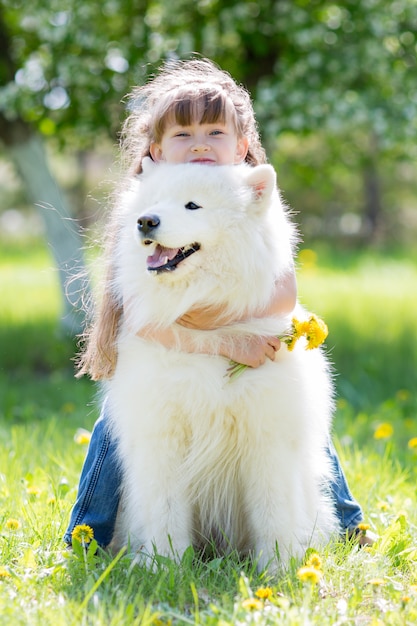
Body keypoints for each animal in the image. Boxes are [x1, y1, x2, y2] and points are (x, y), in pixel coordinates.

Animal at [105, 157, 340, 572]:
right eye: (154, 202)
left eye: (192, 206)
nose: (146, 221)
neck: (209, 329)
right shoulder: (161, 436)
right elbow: (165, 511)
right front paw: (166, 567)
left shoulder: (267, 439)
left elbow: (272, 511)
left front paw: (277, 569)